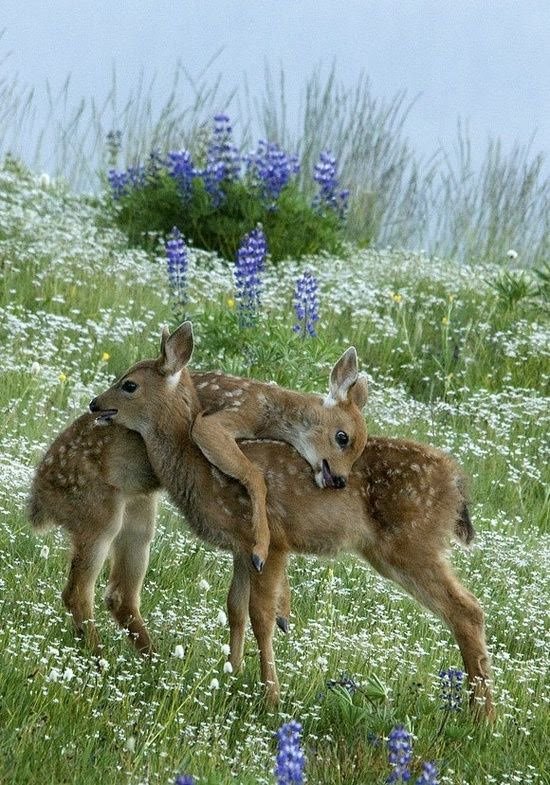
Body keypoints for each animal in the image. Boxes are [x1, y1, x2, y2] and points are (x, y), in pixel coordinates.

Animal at [29, 322, 494, 719]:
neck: (195, 466)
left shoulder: (274, 545)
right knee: (107, 592)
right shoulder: (241, 548)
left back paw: (482, 716)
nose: (96, 404)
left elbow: (259, 615)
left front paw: (270, 695)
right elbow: (236, 608)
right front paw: (234, 675)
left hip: (409, 546)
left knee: (467, 611)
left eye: (129, 385)